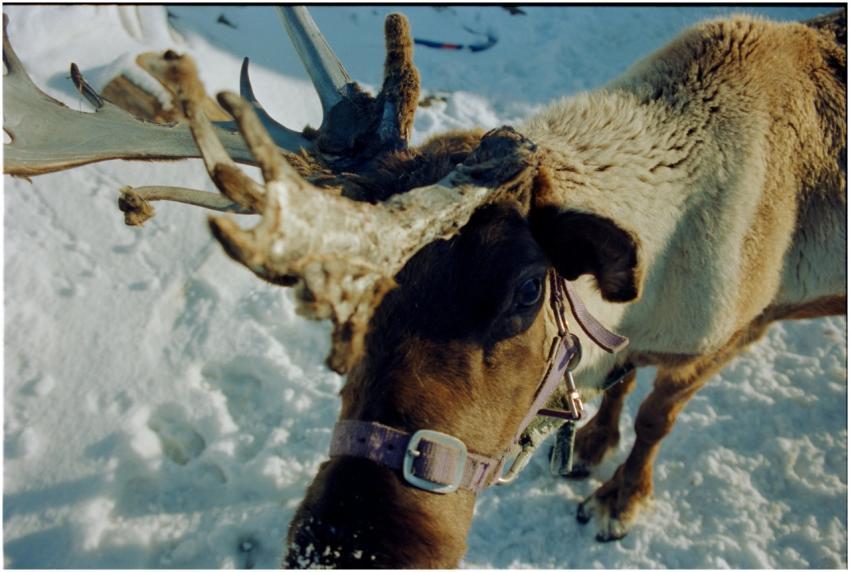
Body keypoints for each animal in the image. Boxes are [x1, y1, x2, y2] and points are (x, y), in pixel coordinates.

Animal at [4, 6, 846, 568]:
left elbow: (655, 417)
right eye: (350, 315)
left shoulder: (733, 328)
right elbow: (619, 387)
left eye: (526, 291)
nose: (347, 545)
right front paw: (590, 444)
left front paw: (618, 498)